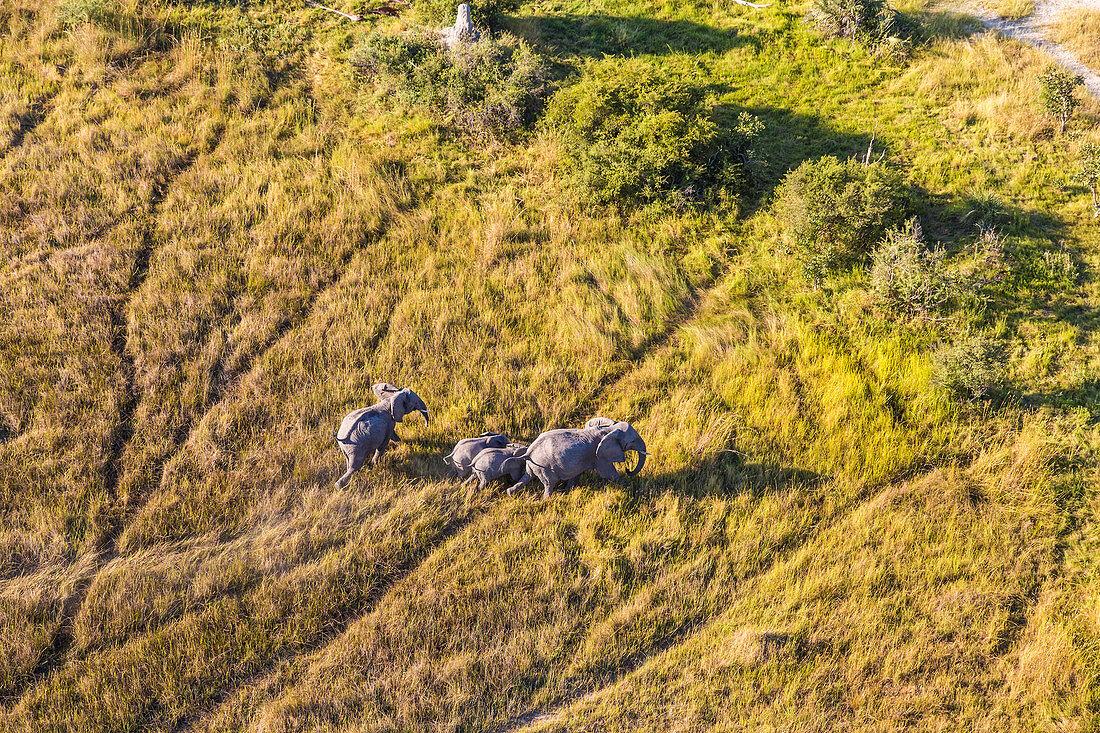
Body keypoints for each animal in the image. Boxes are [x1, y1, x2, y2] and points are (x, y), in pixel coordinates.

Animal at [503, 416, 646, 497]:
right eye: (632, 441)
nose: (628, 470)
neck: (609, 429)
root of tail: (529, 453)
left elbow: (576, 474)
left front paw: (567, 492)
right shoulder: (599, 456)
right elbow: (609, 473)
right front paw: (629, 487)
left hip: (535, 467)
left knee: (527, 476)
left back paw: (510, 493)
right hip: (545, 468)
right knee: (549, 484)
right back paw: (547, 500)